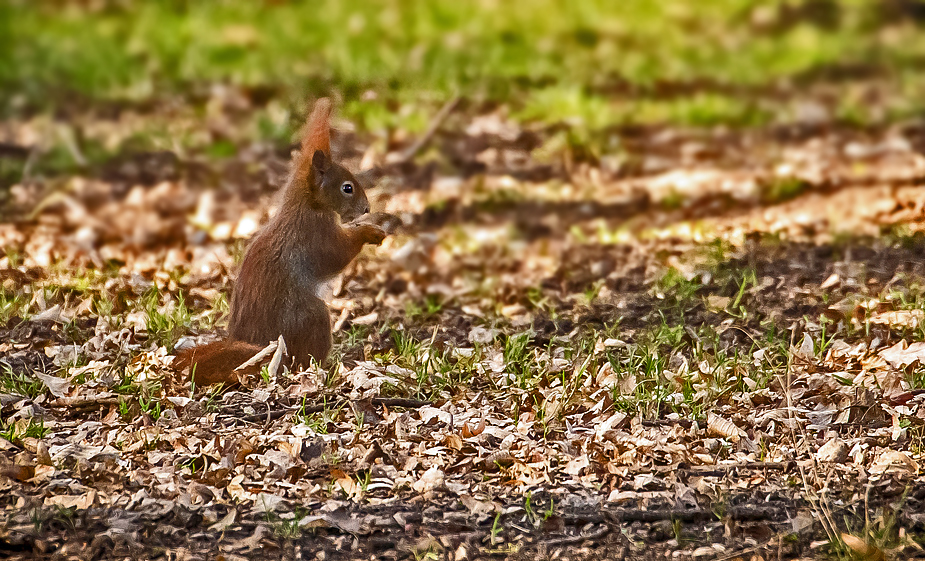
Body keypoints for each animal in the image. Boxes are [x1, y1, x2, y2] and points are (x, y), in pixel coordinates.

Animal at [174, 97, 386, 384]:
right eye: (347, 188)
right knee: (301, 359)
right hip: (310, 317)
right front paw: (369, 232)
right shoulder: (314, 234)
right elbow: (336, 254)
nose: (366, 208)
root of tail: (261, 347)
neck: (306, 205)